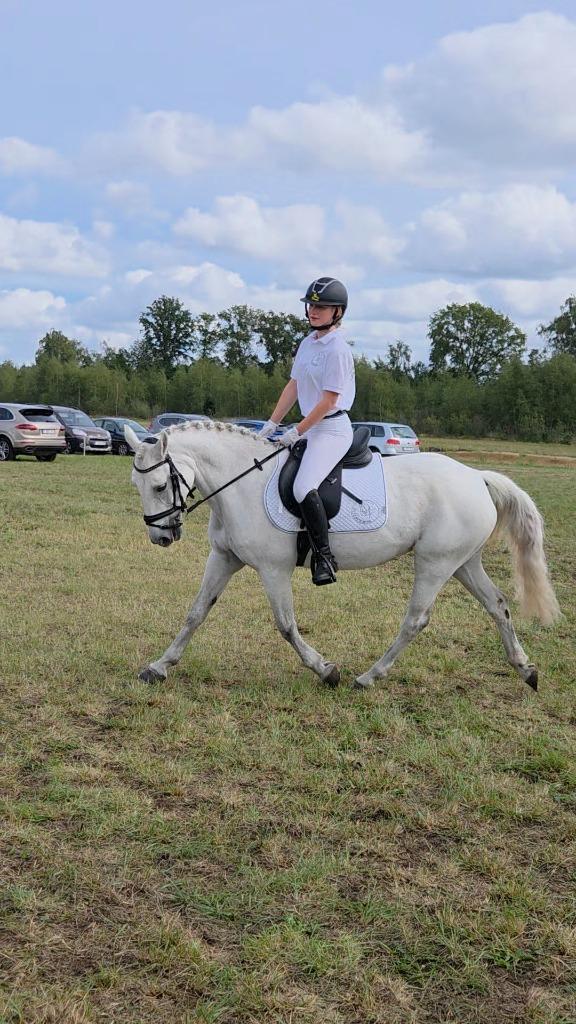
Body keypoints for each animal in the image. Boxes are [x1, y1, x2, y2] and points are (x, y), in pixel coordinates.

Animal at [125, 421, 560, 691]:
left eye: (160, 485)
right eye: (137, 484)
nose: (160, 536)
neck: (241, 483)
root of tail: (476, 476)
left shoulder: (273, 569)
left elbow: (286, 625)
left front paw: (326, 670)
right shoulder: (224, 558)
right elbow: (196, 613)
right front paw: (158, 667)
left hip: (436, 563)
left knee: (415, 620)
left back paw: (367, 677)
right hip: (463, 563)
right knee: (497, 605)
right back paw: (526, 669)